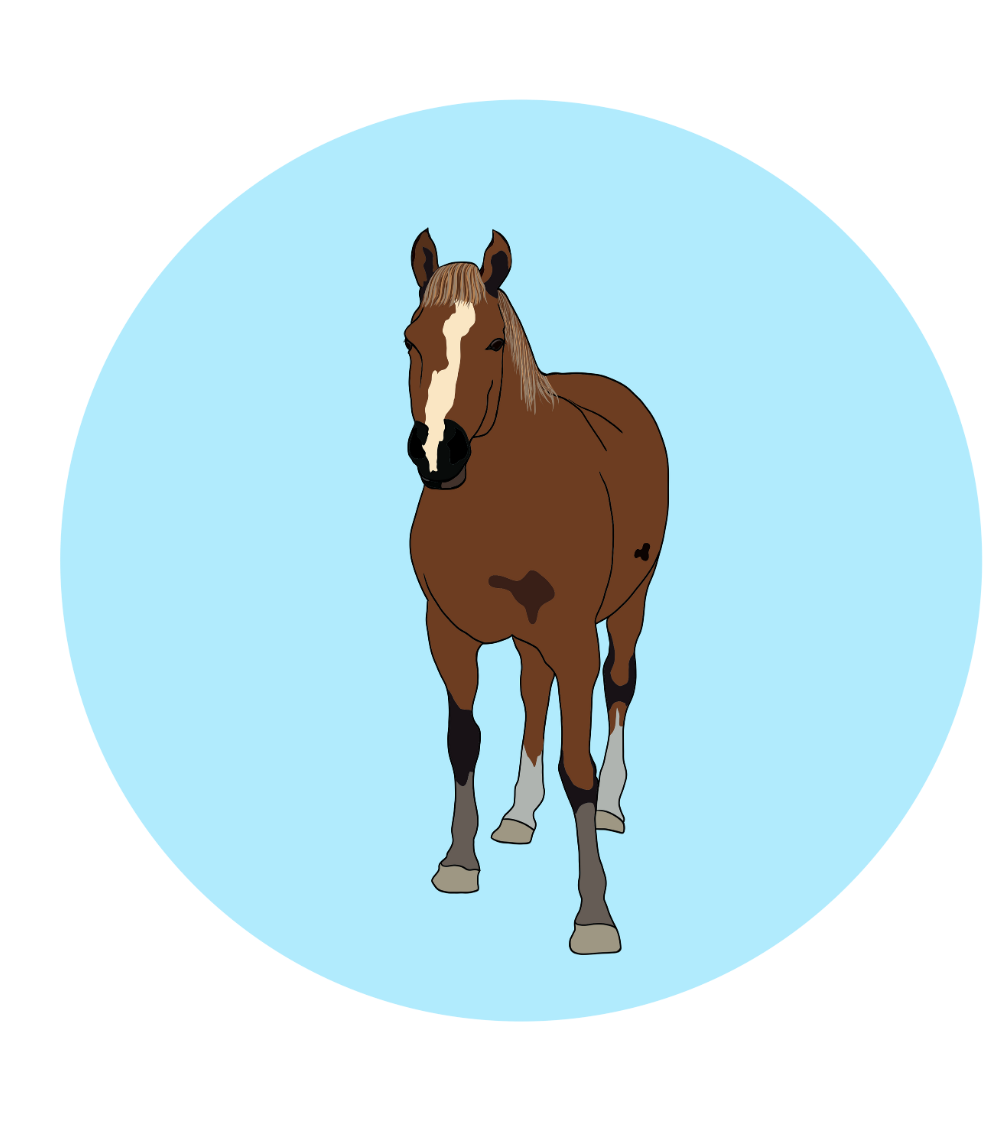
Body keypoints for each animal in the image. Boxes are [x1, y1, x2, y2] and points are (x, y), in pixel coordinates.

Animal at [405, 230, 668, 954]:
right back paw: (519, 814)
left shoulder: (574, 639)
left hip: (629, 605)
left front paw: (594, 918)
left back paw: (610, 806)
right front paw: (458, 863)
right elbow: (463, 740)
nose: (437, 454)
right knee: (531, 690)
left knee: (618, 687)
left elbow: (577, 767)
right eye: (411, 340)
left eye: (494, 342)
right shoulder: (448, 631)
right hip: (529, 633)